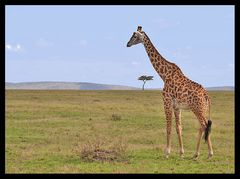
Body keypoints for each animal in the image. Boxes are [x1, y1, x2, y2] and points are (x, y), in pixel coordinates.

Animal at [126, 25, 213, 159]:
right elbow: (178, 127)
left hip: (197, 108)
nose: (127, 44)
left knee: (204, 125)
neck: (164, 75)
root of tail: (206, 95)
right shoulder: (177, 106)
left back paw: (205, 153)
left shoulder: (166, 102)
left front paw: (167, 152)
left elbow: (168, 127)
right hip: (202, 109)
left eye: (135, 36)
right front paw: (181, 153)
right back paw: (198, 153)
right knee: (204, 126)